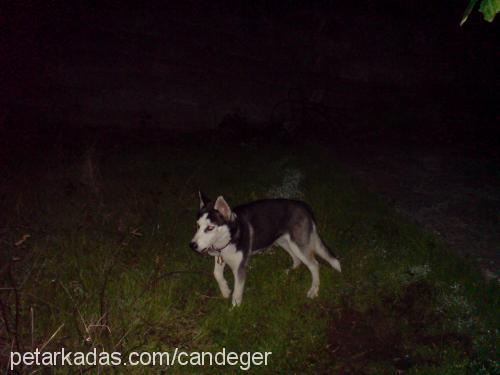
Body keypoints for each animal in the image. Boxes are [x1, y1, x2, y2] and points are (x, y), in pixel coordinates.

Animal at [189, 192, 342, 306]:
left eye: (210, 228)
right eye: (197, 225)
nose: (192, 245)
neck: (231, 236)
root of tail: (303, 205)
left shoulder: (240, 268)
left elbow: (237, 292)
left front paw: (234, 309)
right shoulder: (220, 256)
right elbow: (216, 274)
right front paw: (225, 290)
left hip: (298, 244)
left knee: (314, 265)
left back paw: (314, 289)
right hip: (283, 241)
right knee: (297, 259)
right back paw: (290, 271)